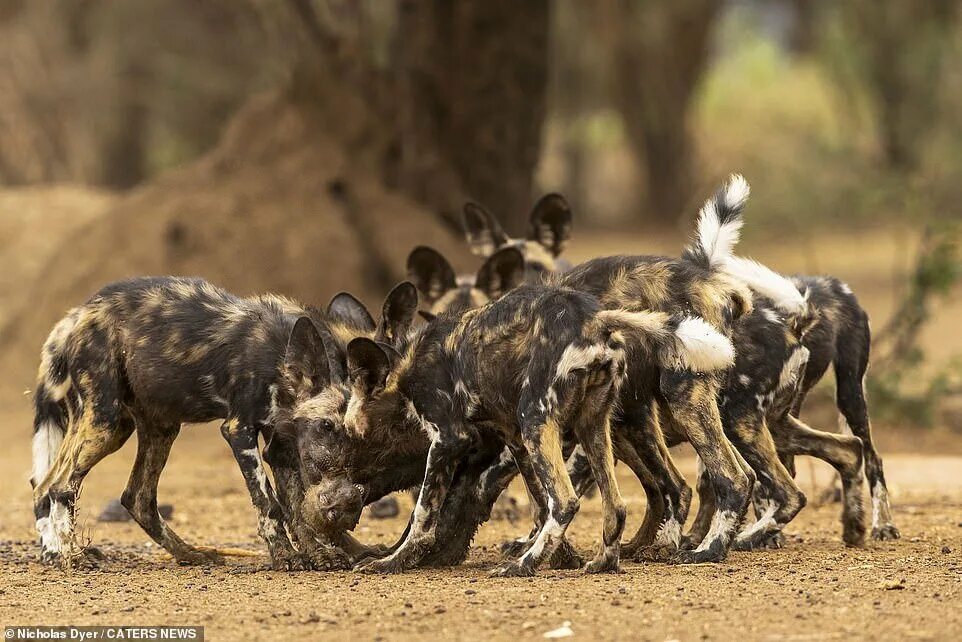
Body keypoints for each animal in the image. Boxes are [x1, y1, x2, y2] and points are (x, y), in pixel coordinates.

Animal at [29, 274, 412, 564]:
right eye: (326, 425)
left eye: (363, 433)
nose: (346, 491)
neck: (282, 357)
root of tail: (76, 315)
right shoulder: (240, 431)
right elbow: (271, 504)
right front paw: (288, 556)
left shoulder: (284, 444)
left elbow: (296, 506)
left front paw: (329, 553)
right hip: (105, 423)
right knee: (57, 486)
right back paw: (66, 555)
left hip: (156, 427)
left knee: (131, 497)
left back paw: (188, 553)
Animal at [270, 278, 736, 572]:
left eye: (345, 431)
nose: (331, 482)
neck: (406, 367)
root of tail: (594, 318)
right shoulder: (514, 441)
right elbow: (536, 502)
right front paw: (557, 557)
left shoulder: (449, 439)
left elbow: (422, 516)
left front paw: (393, 561)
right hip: (591, 427)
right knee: (615, 504)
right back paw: (602, 563)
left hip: (541, 420)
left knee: (567, 500)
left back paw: (522, 567)